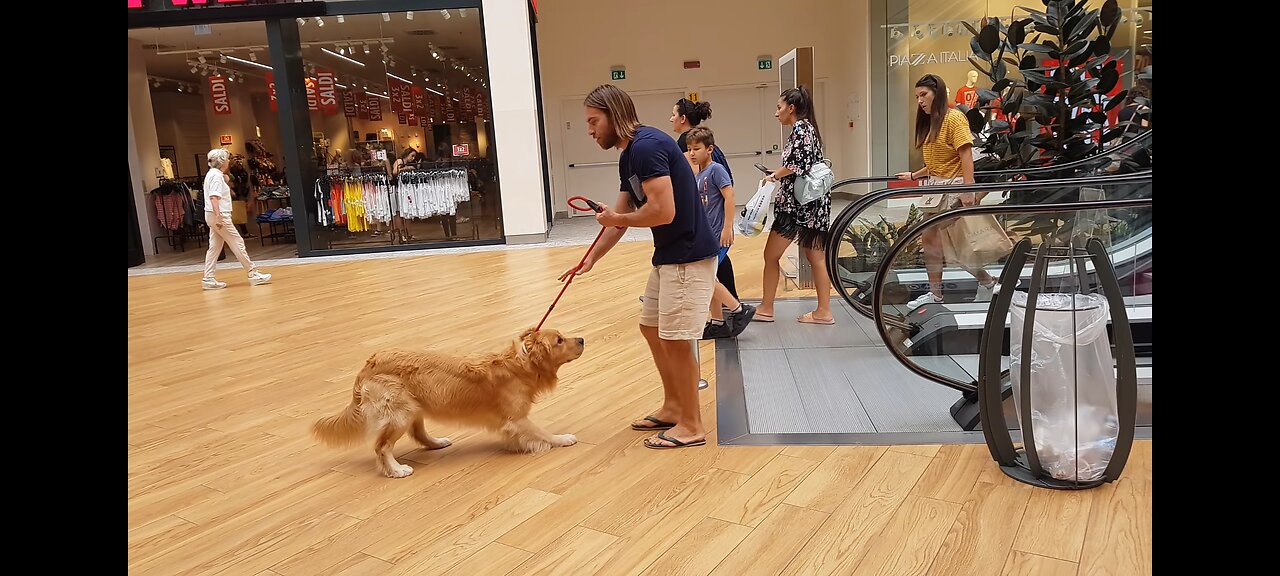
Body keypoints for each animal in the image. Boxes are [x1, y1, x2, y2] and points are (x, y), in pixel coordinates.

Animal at [314, 326, 586, 478]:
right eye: (559, 340)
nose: (582, 339)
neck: (521, 364)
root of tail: (369, 364)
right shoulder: (517, 419)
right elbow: (542, 433)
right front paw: (562, 439)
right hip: (399, 412)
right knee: (382, 446)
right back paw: (397, 470)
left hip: (414, 406)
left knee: (418, 432)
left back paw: (437, 443)